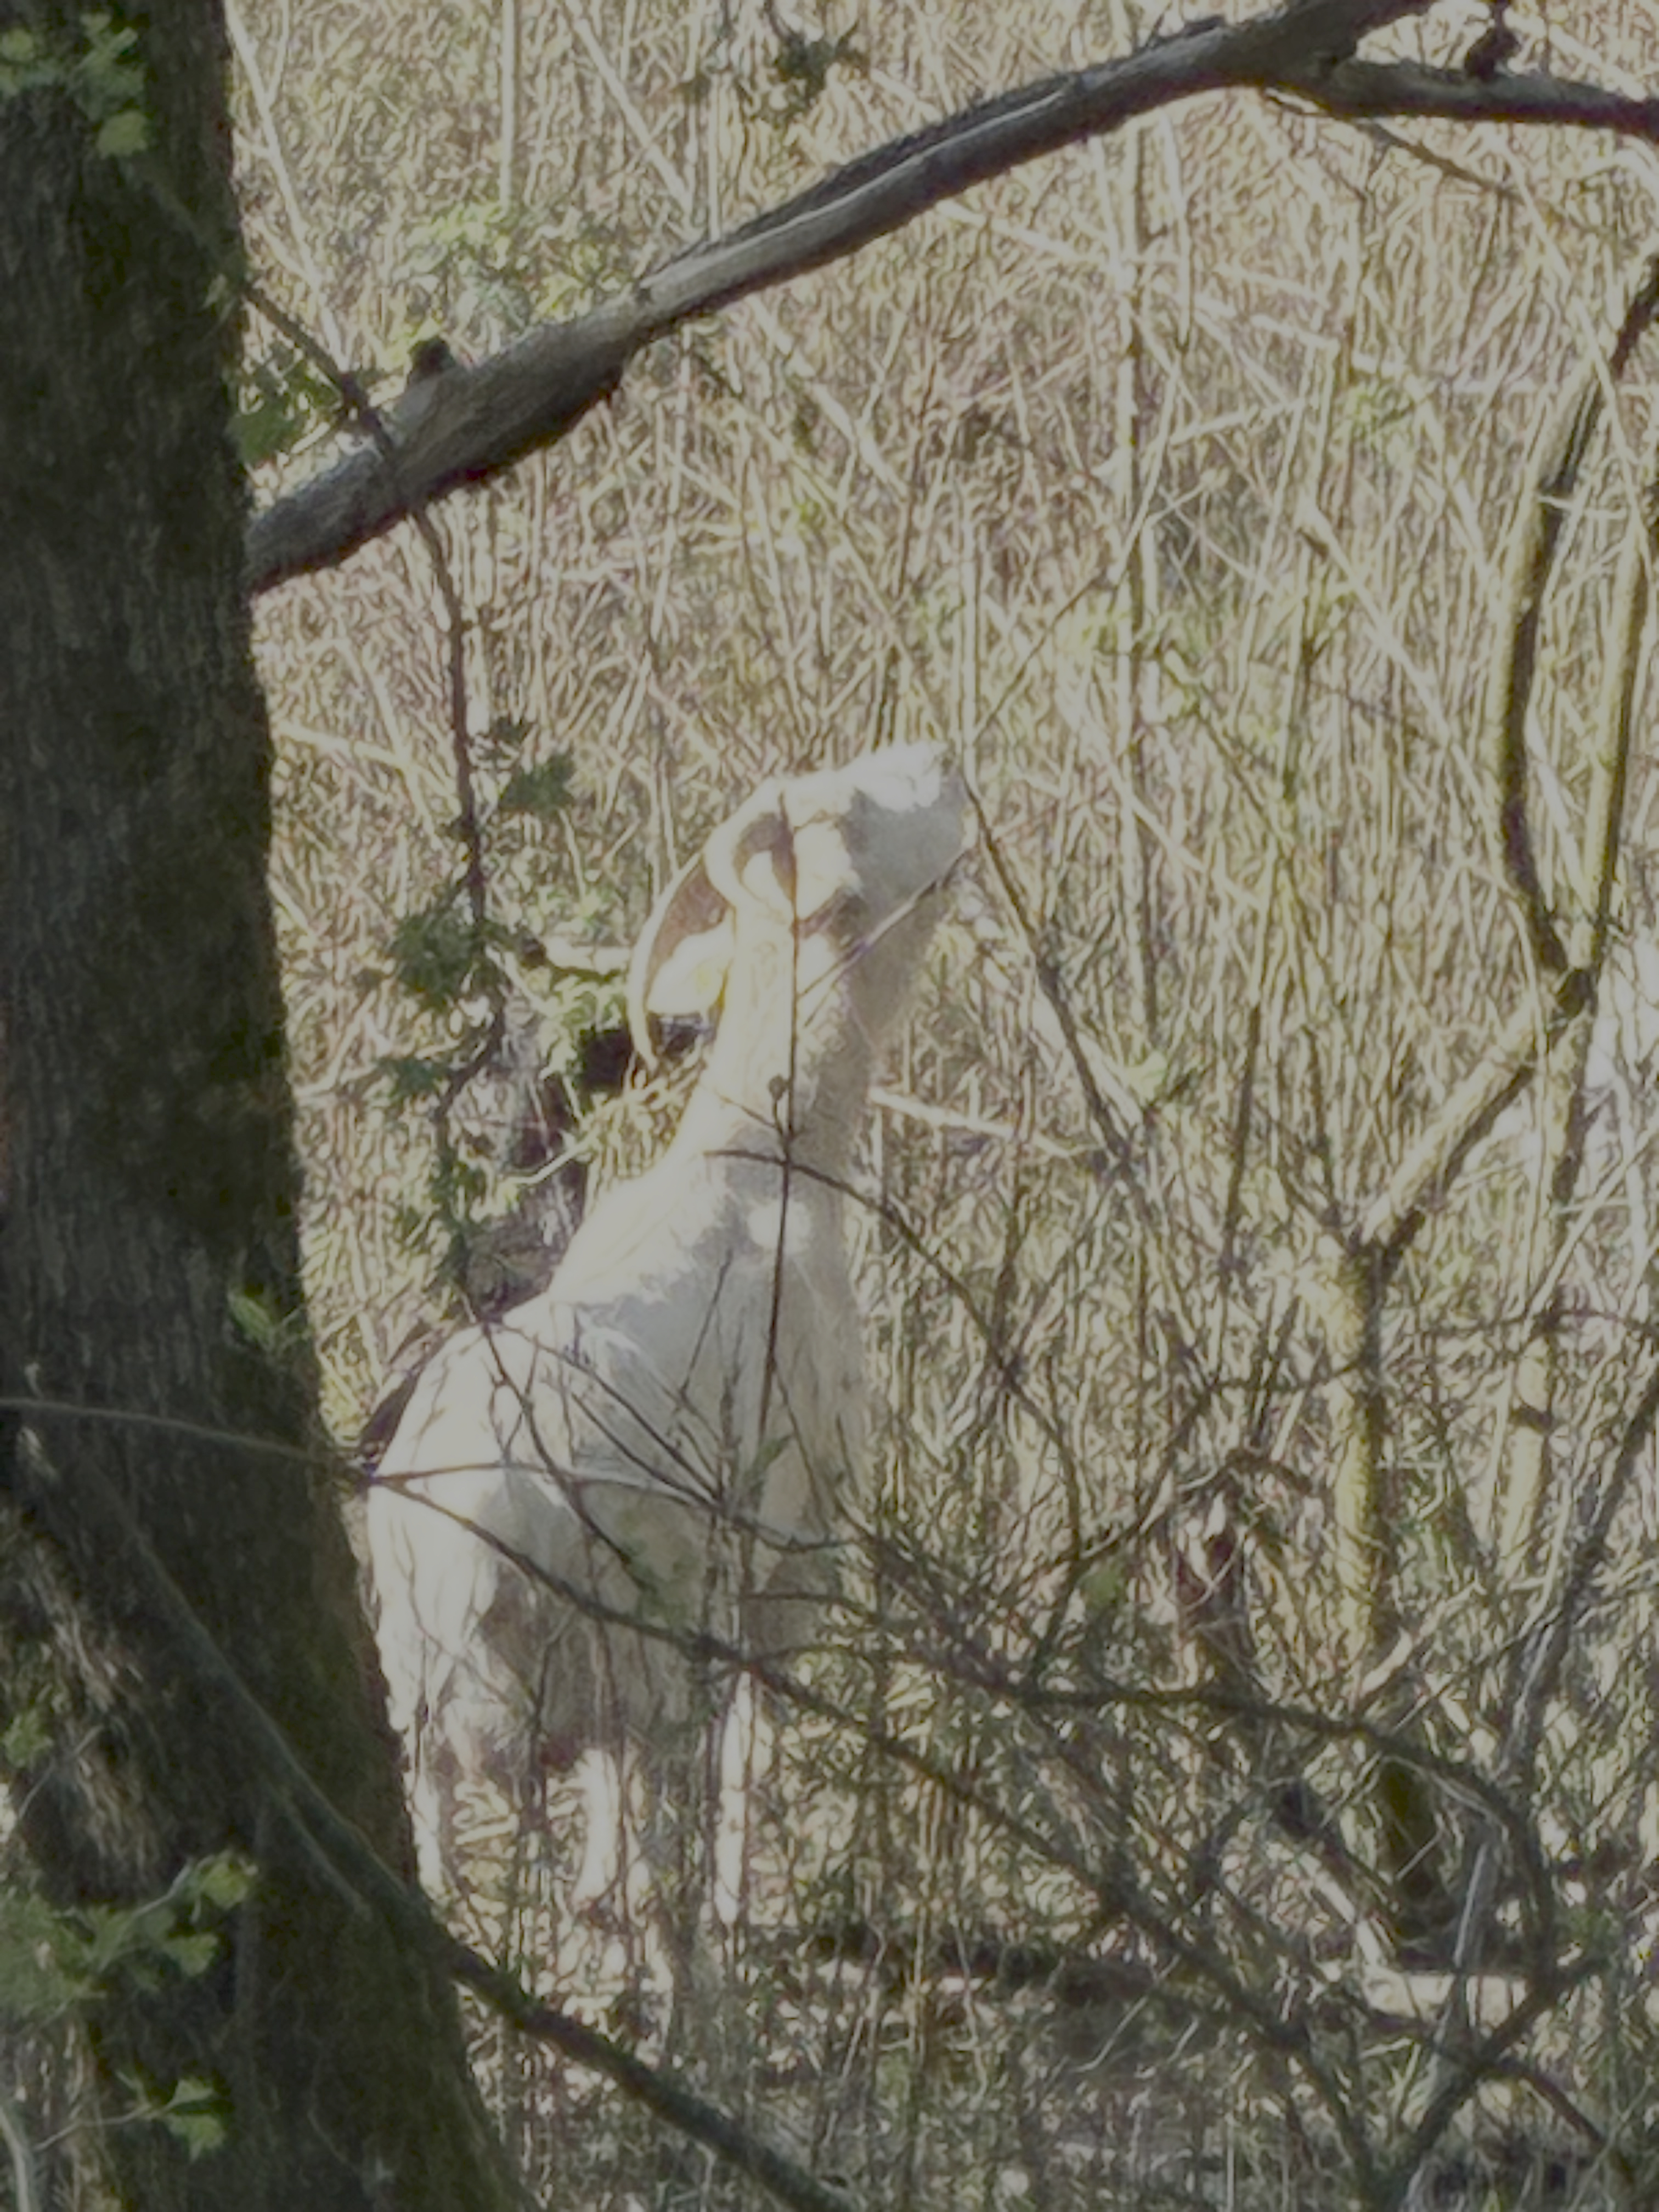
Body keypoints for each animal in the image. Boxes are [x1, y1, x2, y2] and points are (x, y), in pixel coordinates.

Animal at [365, 744, 971, 1897]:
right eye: (856, 807)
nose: (944, 763)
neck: (762, 1162)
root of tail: (460, 1555)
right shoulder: (784, 1574)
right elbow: (746, 1773)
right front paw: (739, 1900)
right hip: (618, 1663)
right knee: (621, 1880)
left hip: (432, 1720)